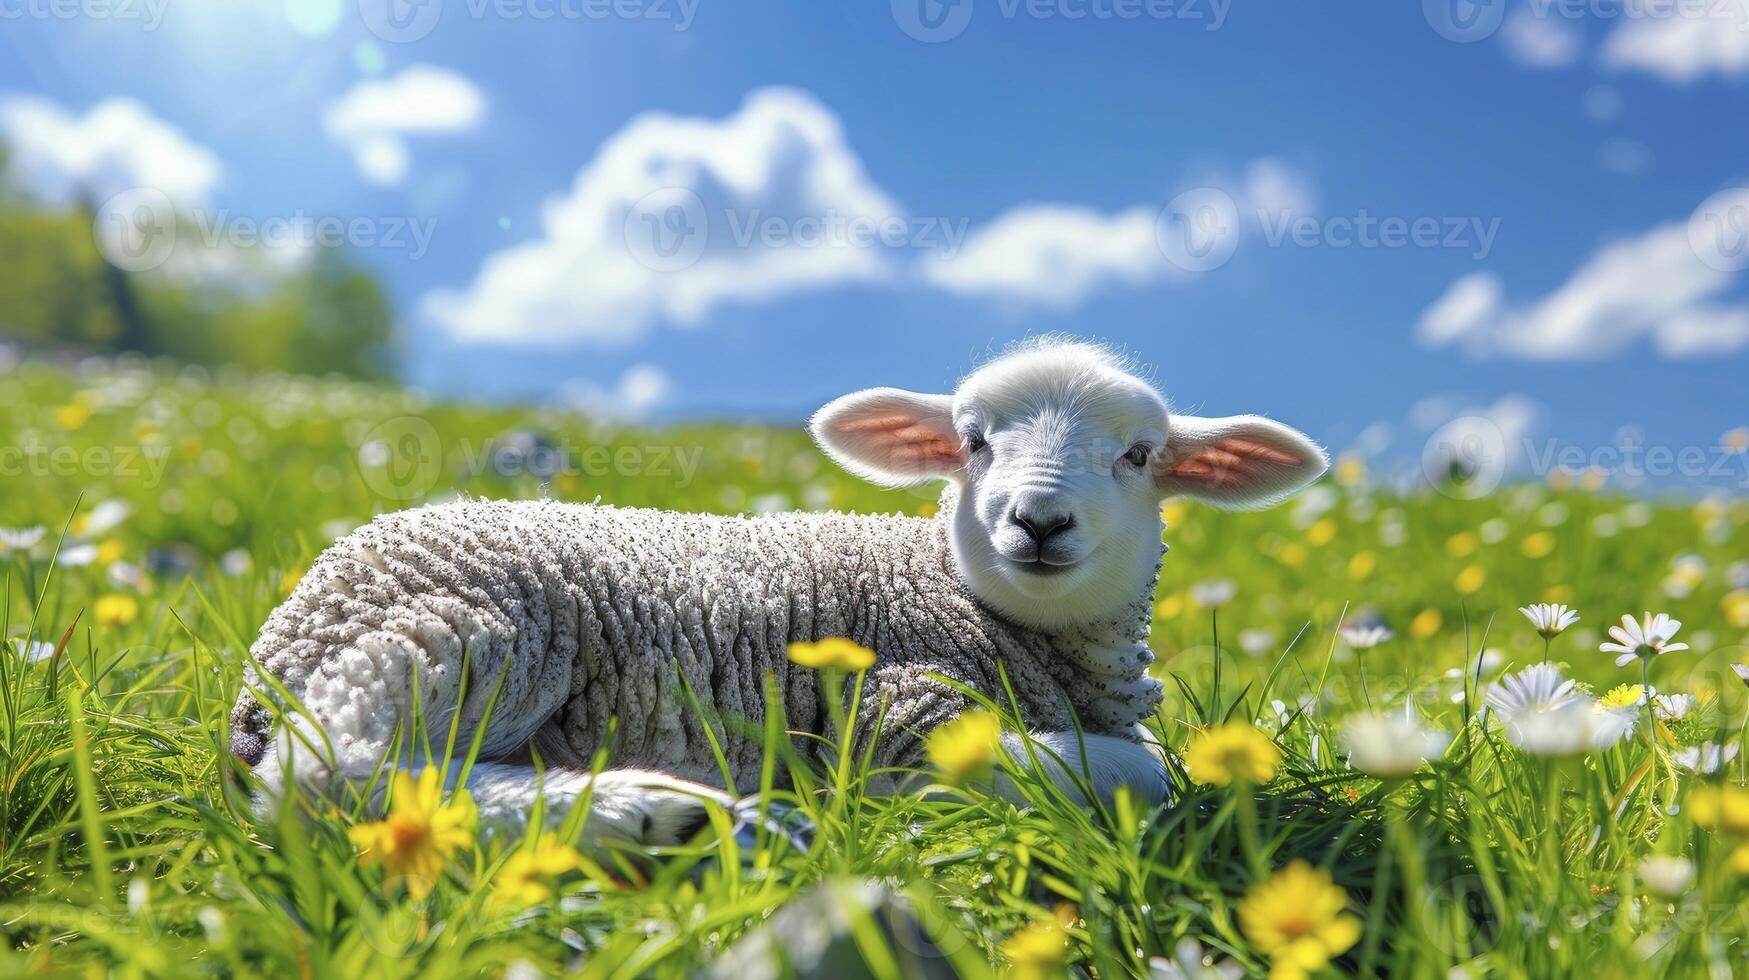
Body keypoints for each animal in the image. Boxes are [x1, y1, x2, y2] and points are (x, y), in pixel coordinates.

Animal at [232, 336, 1322, 843]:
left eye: (1138, 455)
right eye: (972, 442)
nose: (1039, 521)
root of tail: (277, 640)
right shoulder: (899, 705)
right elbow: (1149, 771)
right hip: (462, 623)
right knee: (329, 770)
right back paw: (647, 811)